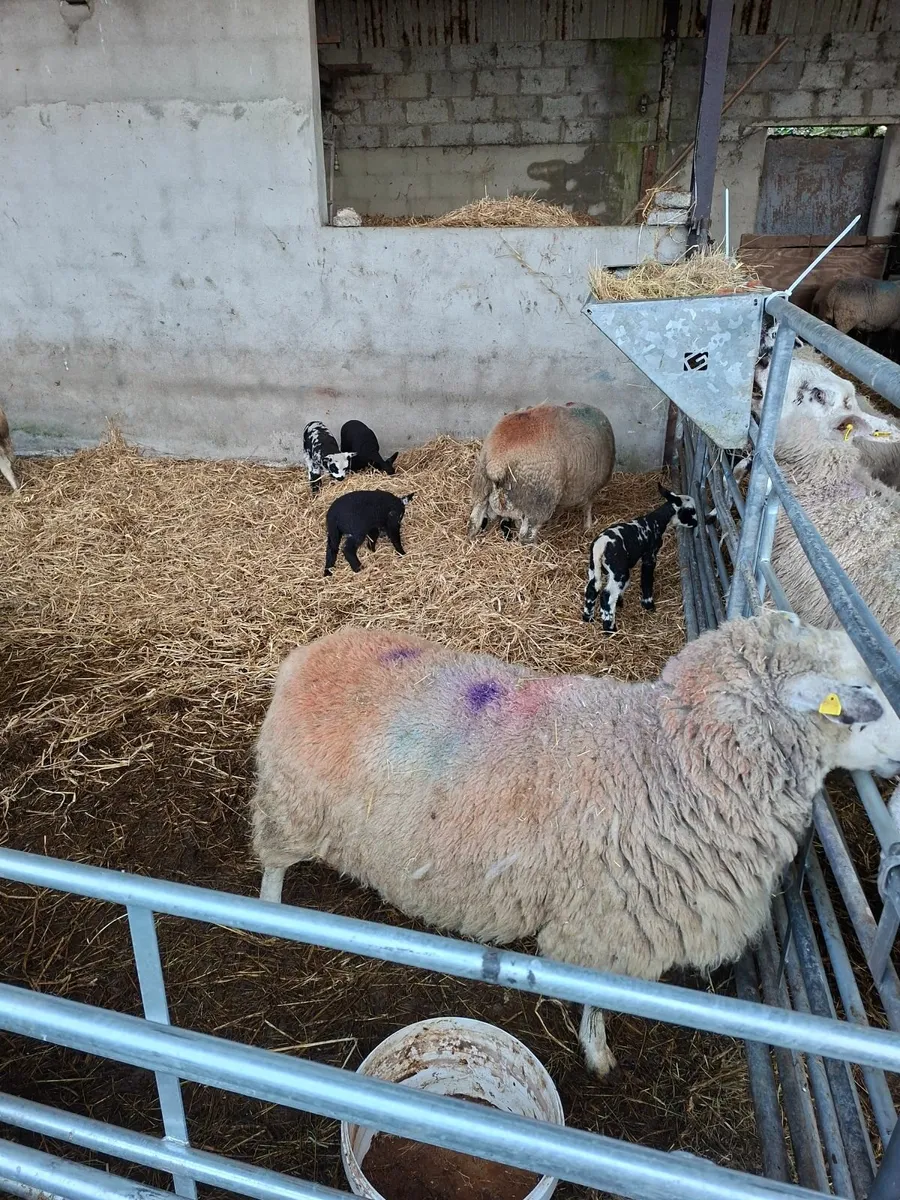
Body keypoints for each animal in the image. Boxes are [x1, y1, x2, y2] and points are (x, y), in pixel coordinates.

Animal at [250, 612, 900, 1075]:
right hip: (290, 805)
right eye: (861, 689)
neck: (670, 760)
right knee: (271, 866)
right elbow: (597, 998)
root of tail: (306, 655)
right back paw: (272, 915)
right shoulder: (609, 923)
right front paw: (598, 1053)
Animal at [467, 403, 615, 544]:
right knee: (527, 536)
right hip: (539, 500)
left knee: (474, 521)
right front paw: (588, 526)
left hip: (481, 484)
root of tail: (498, 462)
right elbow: (588, 506)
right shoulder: (592, 486)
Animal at [583, 486, 699, 632]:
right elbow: (647, 578)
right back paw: (610, 628)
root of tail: (600, 546)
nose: (696, 523)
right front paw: (648, 603)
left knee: (592, 588)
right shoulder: (650, 555)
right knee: (607, 596)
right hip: (619, 571)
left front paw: (620, 601)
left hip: (594, 567)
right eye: (691, 511)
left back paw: (588, 618)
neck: (656, 521)